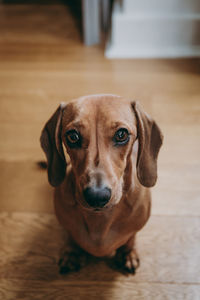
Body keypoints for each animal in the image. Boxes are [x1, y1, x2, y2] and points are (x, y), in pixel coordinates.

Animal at [39, 94, 163, 274]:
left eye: (121, 134)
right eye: (73, 136)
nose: (97, 197)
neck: (100, 220)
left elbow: (130, 238)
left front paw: (127, 253)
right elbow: (71, 235)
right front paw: (72, 252)